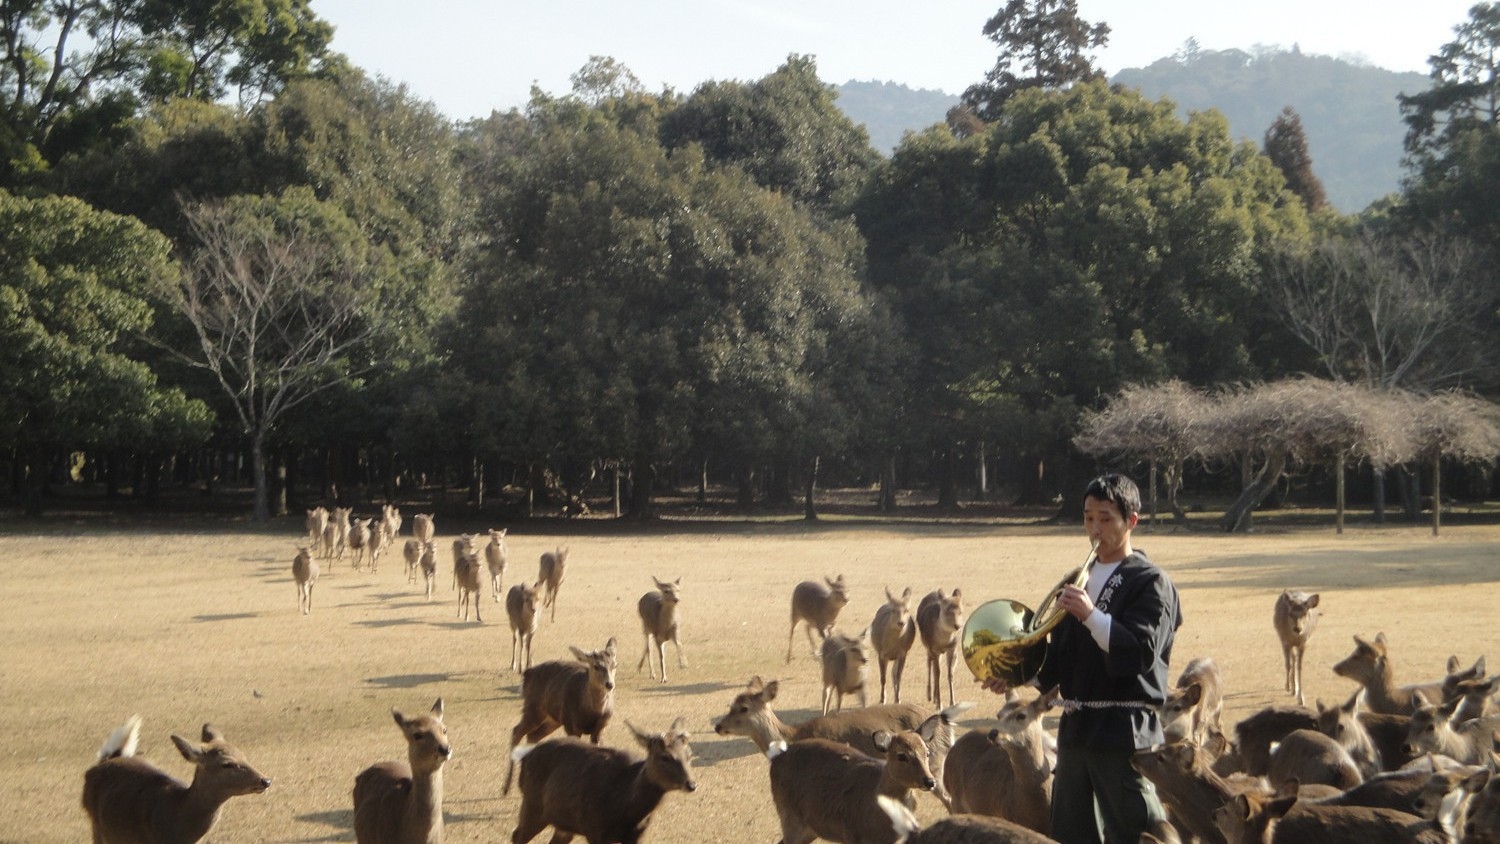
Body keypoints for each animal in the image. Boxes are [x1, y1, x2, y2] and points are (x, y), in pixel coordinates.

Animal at [504, 638, 621, 797]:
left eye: (615, 665)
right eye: (596, 666)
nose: (609, 684)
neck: (590, 712)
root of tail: (528, 674)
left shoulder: (601, 727)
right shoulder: (571, 725)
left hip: (552, 720)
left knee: (533, 735)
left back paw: (523, 782)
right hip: (533, 708)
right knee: (517, 731)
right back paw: (506, 788)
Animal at [510, 719, 696, 844]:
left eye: (689, 755)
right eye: (664, 757)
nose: (691, 784)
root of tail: (525, 756)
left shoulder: (638, 834)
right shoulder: (594, 828)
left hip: (562, 821)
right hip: (532, 805)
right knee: (517, 835)